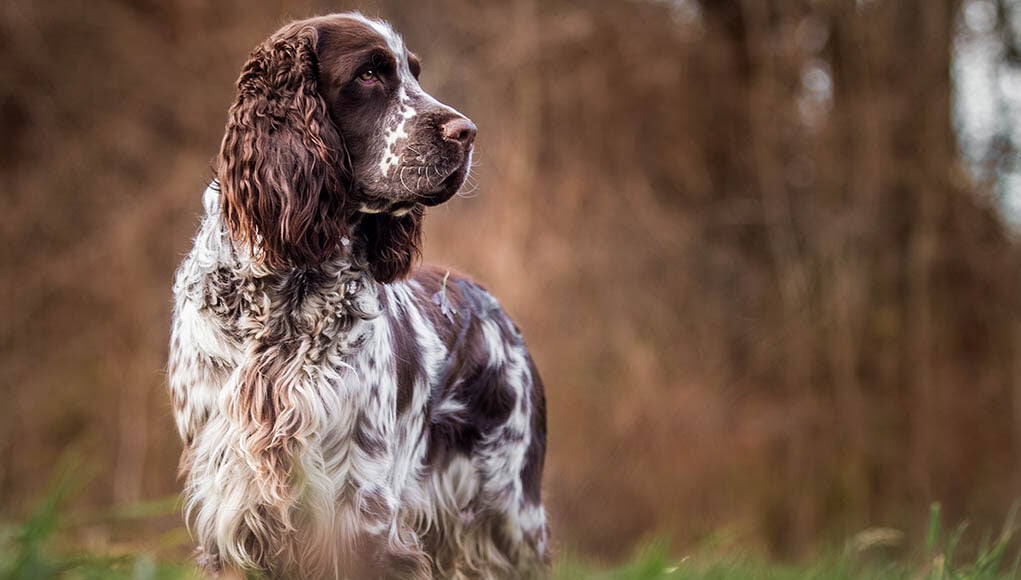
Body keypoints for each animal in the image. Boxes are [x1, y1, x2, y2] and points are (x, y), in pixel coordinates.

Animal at [168, 11, 551, 575]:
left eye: (414, 73)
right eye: (370, 74)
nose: (468, 132)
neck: (286, 295)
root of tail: (487, 299)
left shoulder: (361, 514)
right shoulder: (230, 514)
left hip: (509, 516)